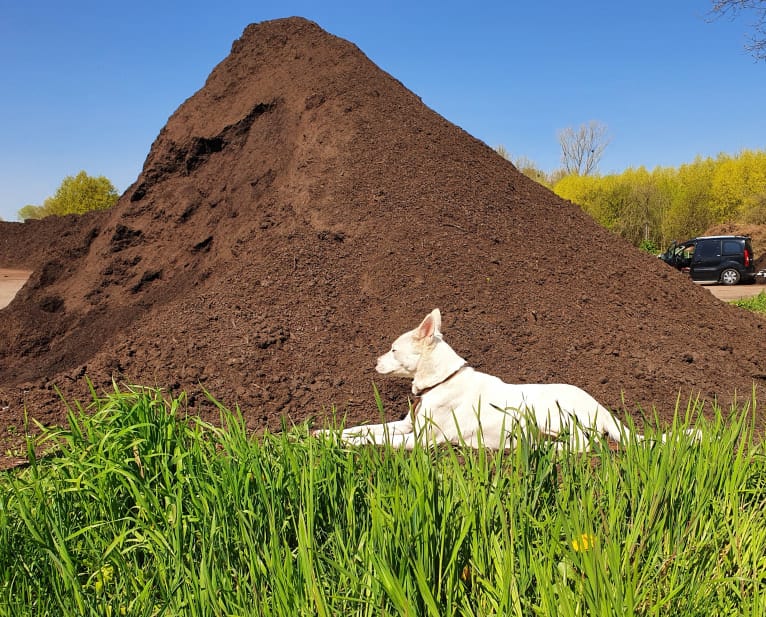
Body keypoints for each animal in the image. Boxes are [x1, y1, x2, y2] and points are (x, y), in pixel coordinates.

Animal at [320, 310, 688, 450]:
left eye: (393, 349)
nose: (374, 361)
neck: (441, 381)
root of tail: (602, 407)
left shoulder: (422, 441)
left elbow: (376, 439)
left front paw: (339, 441)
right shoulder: (408, 425)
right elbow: (367, 428)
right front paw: (327, 433)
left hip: (549, 413)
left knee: (584, 445)